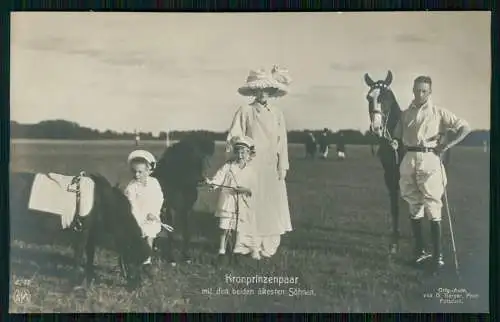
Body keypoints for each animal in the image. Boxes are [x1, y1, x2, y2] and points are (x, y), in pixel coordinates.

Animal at [9, 172, 150, 290]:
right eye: (134, 261)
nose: (138, 285)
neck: (101, 201)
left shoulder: (91, 235)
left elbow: (90, 256)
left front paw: (91, 278)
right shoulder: (82, 233)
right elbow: (79, 256)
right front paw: (74, 283)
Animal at [152, 135, 215, 266]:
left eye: (200, 160)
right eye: (185, 161)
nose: (200, 179)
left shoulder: (186, 209)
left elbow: (186, 232)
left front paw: (186, 256)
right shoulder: (169, 209)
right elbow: (171, 233)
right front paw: (171, 258)